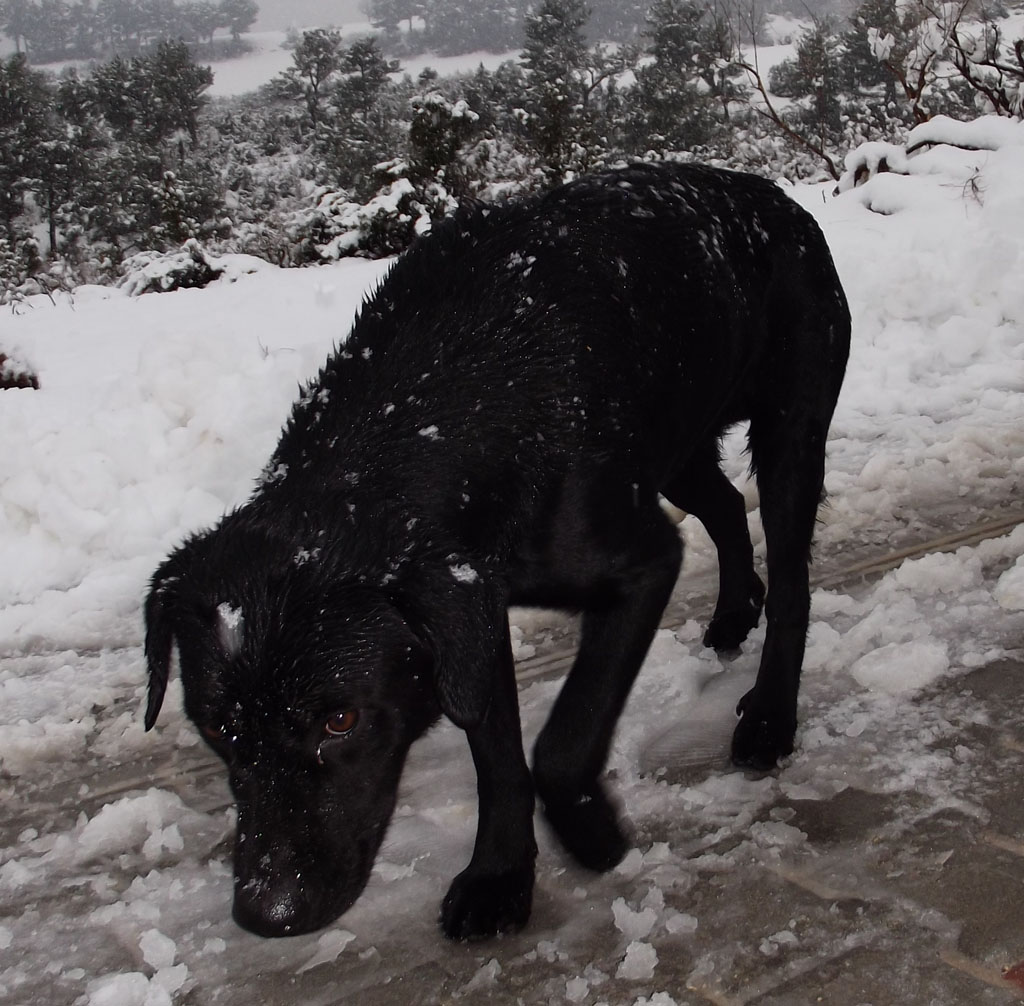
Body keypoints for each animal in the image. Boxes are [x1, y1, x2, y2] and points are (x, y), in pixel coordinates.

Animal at [144, 161, 847, 942]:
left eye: (340, 720)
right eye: (216, 727)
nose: (267, 914)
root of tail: (773, 197)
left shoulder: (637, 568)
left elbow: (561, 745)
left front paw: (591, 834)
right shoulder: (469, 617)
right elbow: (500, 757)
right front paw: (501, 876)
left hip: (789, 431)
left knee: (791, 582)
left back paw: (769, 717)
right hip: (678, 444)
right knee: (724, 509)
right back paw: (732, 613)